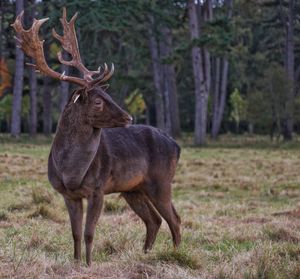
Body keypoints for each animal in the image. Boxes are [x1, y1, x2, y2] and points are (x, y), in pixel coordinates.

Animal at [11, 7, 180, 266]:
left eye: (107, 95)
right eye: (98, 101)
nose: (129, 117)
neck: (71, 171)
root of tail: (176, 145)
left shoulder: (98, 189)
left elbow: (90, 232)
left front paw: (89, 265)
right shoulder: (68, 194)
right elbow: (75, 233)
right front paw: (76, 262)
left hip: (161, 180)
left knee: (174, 219)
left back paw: (177, 254)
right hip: (133, 188)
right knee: (154, 220)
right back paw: (145, 255)